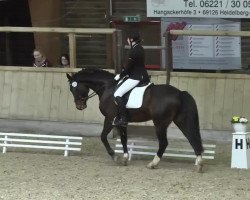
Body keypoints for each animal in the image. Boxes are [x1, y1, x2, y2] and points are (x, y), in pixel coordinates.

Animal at [67, 69, 205, 172]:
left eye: (73, 89)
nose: (80, 107)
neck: (108, 87)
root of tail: (179, 93)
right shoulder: (121, 122)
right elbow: (123, 139)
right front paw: (125, 158)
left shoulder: (110, 118)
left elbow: (103, 136)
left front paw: (114, 156)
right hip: (180, 120)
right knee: (192, 138)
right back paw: (199, 164)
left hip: (160, 123)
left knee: (164, 143)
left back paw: (153, 163)